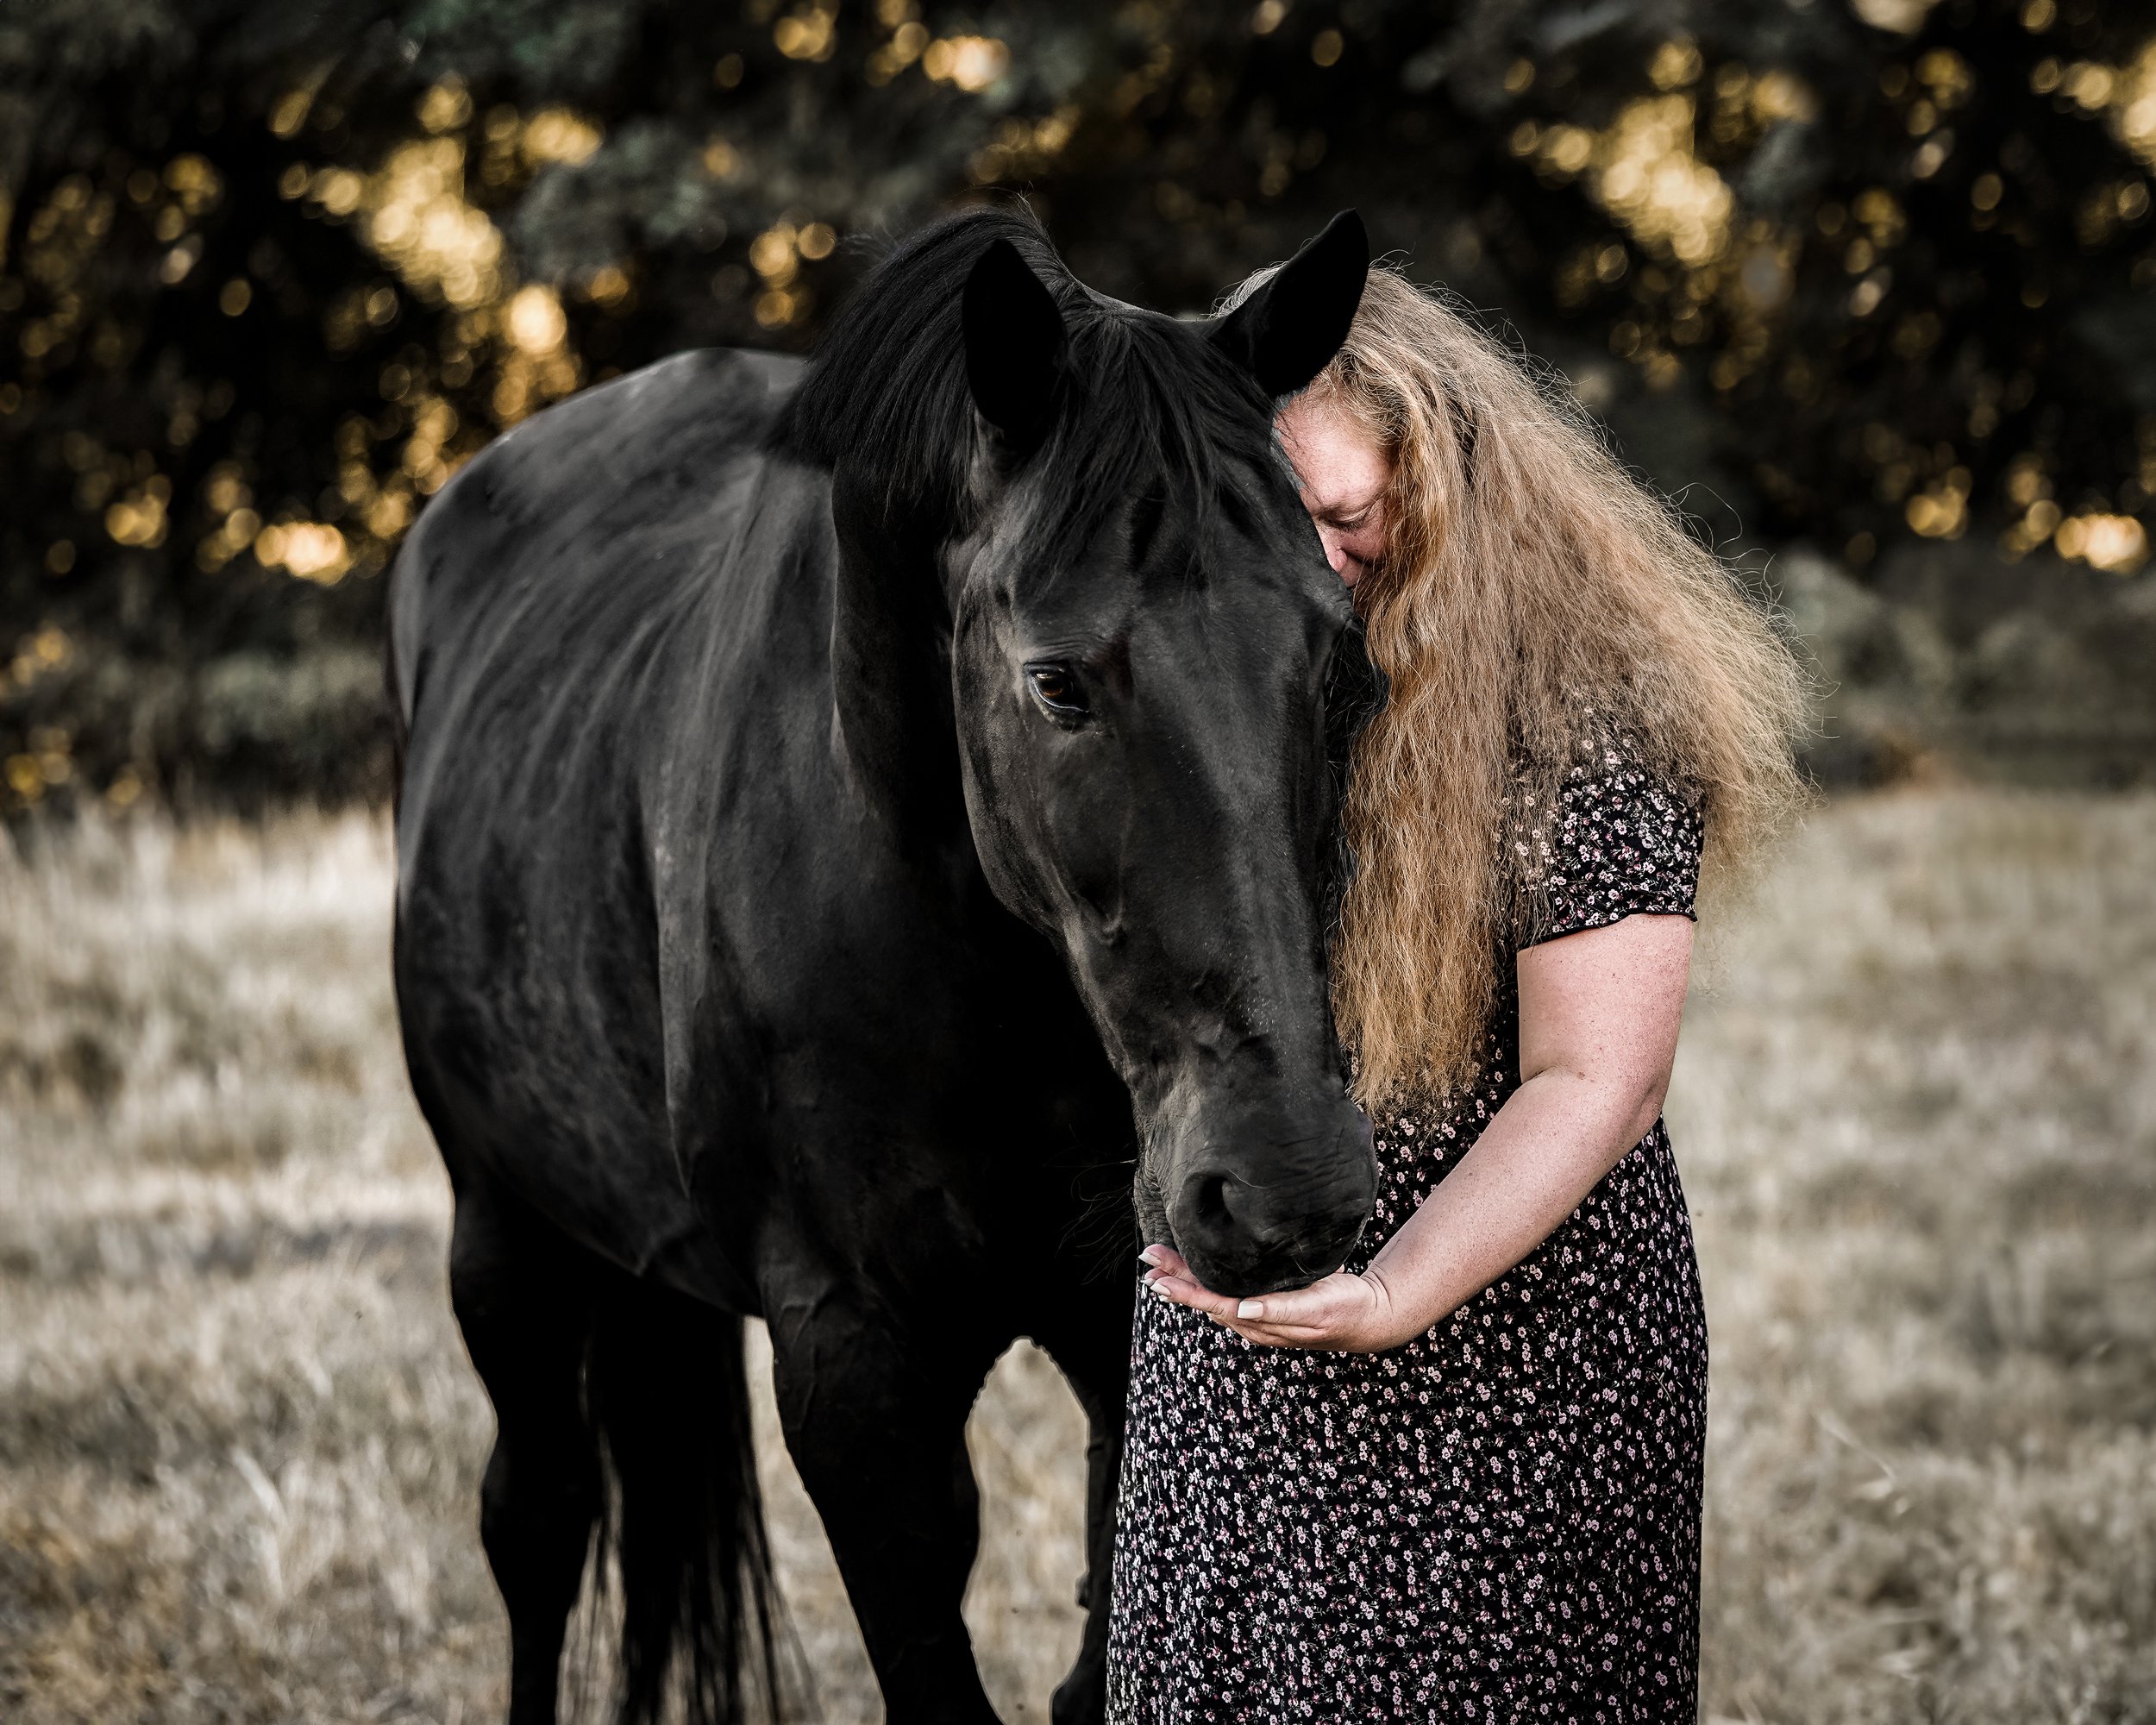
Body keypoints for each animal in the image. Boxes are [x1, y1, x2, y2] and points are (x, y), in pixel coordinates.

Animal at [388, 206, 1378, 1725]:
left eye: (1339, 656)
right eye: (1056, 683)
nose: (1288, 1191)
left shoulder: (1120, 1328)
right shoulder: (853, 1369)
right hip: (503, 1231)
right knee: (539, 1524)